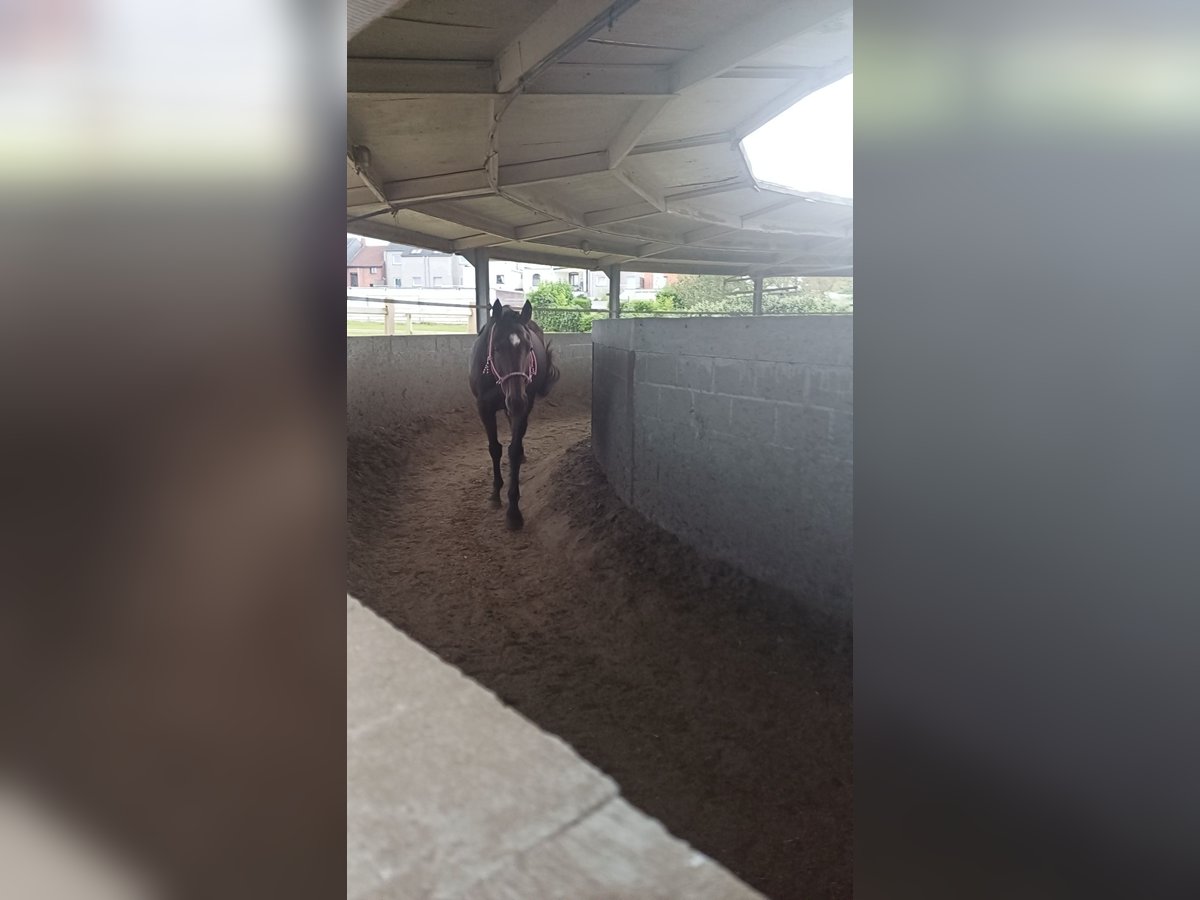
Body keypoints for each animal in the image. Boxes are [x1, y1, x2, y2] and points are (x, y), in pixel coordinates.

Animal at [470, 300, 559, 532]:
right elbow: (495, 449)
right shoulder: (484, 408)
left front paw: (513, 511)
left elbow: (513, 450)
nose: (517, 400)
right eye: (496, 347)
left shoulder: (523, 408)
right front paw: (495, 494)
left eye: (529, 348)